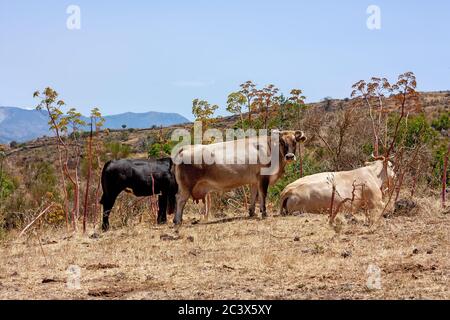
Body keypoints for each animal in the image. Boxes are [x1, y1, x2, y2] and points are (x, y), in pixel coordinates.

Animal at [171, 130, 306, 225]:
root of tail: (186, 148)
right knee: (180, 199)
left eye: (295, 142)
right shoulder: (263, 177)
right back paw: (178, 220)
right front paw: (264, 213)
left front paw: (252, 212)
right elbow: (263, 195)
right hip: (186, 186)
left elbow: (254, 195)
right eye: (282, 142)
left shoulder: (254, 180)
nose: (289, 156)